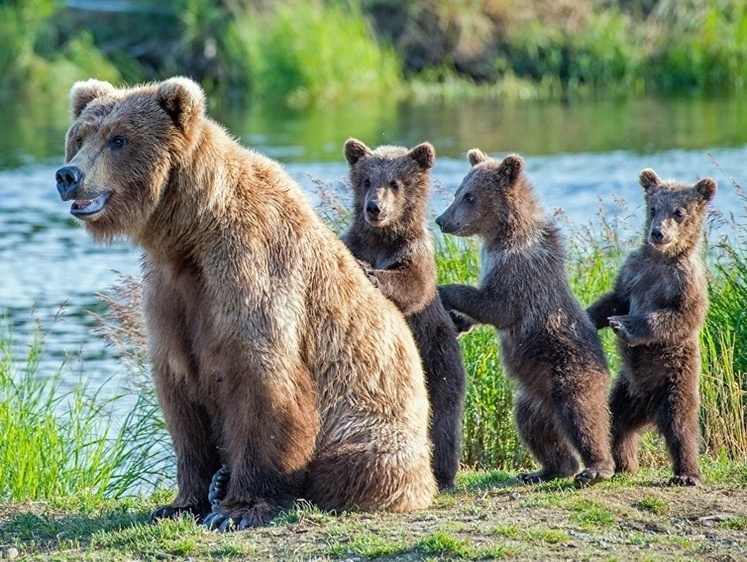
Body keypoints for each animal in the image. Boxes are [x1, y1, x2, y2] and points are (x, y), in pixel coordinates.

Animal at [55, 76, 436, 528]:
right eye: (79, 137)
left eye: (118, 139)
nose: (68, 175)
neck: (189, 233)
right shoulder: (171, 293)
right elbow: (179, 394)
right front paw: (180, 502)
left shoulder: (251, 269)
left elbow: (263, 381)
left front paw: (237, 509)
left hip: (375, 423)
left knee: (357, 462)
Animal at [340, 138, 468, 488]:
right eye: (366, 180)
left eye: (395, 182)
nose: (374, 207)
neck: (381, 240)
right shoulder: (353, 243)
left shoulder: (415, 254)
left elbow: (412, 283)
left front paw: (372, 274)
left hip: (438, 355)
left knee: (443, 413)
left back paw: (442, 472)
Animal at [438, 149, 612, 486]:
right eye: (457, 192)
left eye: (469, 196)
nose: (442, 220)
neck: (501, 235)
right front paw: (458, 321)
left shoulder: (520, 271)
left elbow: (497, 306)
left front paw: (443, 290)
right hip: (532, 397)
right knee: (535, 428)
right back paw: (546, 469)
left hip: (569, 369)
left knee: (582, 413)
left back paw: (596, 468)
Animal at [588, 168, 716, 484]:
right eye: (653, 208)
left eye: (679, 212)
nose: (657, 232)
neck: (661, 258)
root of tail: (648, 408)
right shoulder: (633, 271)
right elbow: (615, 299)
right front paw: (590, 316)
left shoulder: (686, 282)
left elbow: (678, 317)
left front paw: (623, 325)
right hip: (626, 390)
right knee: (617, 422)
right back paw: (623, 464)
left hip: (675, 380)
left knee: (681, 426)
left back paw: (686, 474)